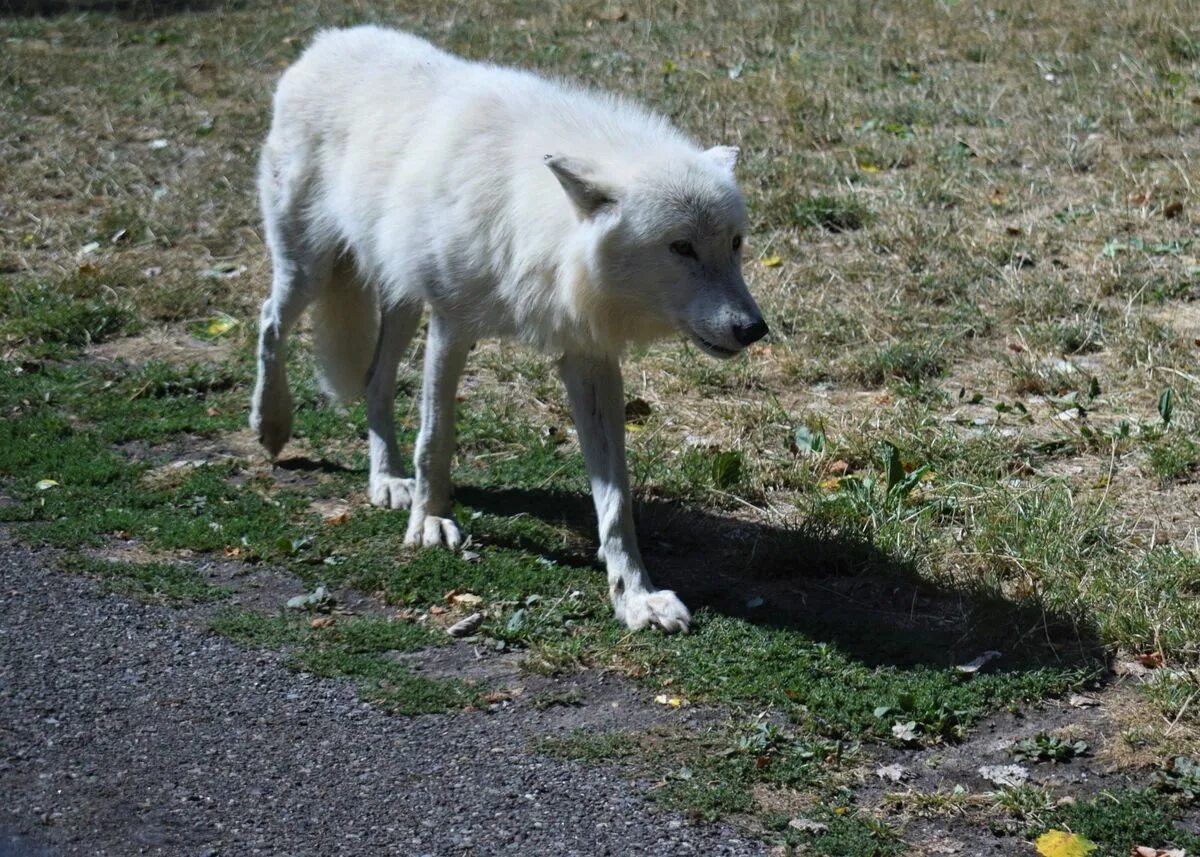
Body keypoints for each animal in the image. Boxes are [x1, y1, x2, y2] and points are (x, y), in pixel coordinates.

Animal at [250, 23, 768, 628]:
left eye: (734, 244)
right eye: (681, 247)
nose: (753, 329)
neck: (532, 215)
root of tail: (326, 41)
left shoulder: (589, 356)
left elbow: (616, 498)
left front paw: (634, 595)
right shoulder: (451, 323)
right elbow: (437, 436)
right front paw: (430, 522)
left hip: (400, 297)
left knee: (376, 380)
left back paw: (387, 481)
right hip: (309, 271)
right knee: (270, 323)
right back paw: (272, 424)